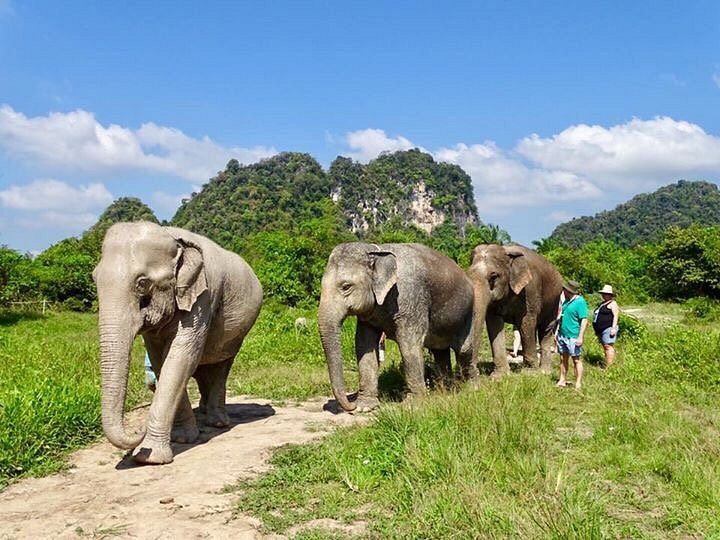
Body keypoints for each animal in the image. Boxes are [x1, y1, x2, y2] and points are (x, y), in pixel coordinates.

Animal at [93, 220, 264, 464]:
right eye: (94, 279)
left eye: (142, 283)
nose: (138, 430)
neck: (171, 237)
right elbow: (160, 360)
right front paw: (182, 438)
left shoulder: (202, 296)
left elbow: (179, 358)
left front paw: (149, 457)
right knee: (204, 369)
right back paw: (202, 412)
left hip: (237, 334)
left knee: (221, 366)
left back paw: (217, 422)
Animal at [320, 243, 478, 412]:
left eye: (346, 286)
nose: (351, 405)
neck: (376, 251)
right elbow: (364, 344)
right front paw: (364, 406)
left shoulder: (411, 297)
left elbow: (408, 343)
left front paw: (412, 405)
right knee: (440, 352)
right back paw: (444, 390)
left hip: (469, 313)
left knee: (464, 349)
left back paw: (471, 389)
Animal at [470, 243, 564, 378]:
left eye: (493, 276)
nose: (477, 373)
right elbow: (494, 324)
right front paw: (499, 376)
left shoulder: (530, 290)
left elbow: (526, 322)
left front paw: (530, 373)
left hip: (554, 301)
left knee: (545, 329)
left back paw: (544, 371)